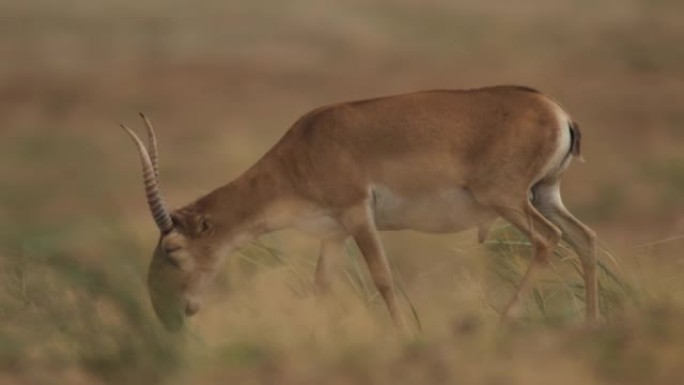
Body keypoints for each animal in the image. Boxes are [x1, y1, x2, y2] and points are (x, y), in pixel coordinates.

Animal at [120, 86, 596, 330]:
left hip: (508, 199)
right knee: (584, 237)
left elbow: (382, 278)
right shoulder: (333, 233)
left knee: (549, 239)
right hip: (544, 195)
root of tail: (556, 112)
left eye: (173, 248)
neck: (305, 147)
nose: (167, 314)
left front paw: (404, 336)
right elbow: (321, 287)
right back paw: (593, 322)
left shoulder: (357, 215)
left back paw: (503, 320)